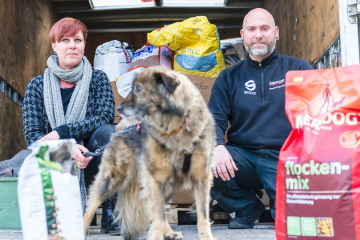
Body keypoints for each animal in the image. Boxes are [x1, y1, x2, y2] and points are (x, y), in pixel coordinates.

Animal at [83, 66, 215, 240]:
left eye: (139, 89)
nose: (119, 109)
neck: (176, 127)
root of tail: (122, 126)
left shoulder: (200, 177)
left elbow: (203, 216)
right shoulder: (157, 178)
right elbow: (157, 216)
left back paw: (169, 232)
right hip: (113, 177)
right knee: (92, 205)